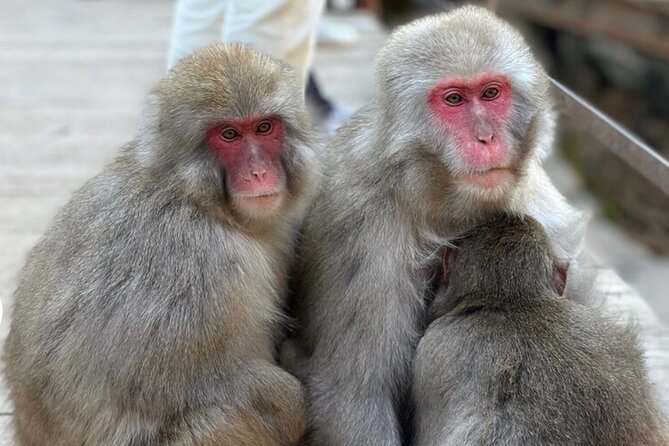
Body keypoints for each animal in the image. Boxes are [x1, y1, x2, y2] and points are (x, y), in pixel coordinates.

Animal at [4, 43, 320, 446]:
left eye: (264, 127)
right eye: (229, 135)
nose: (259, 172)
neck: (189, 193)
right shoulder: (200, 261)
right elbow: (162, 381)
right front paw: (290, 405)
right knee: (224, 417)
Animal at [288, 6, 592, 445]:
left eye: (491, 93)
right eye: (453, 100)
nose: (486, 137)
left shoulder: (537, 205)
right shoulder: (364, 233)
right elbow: (356, 393)